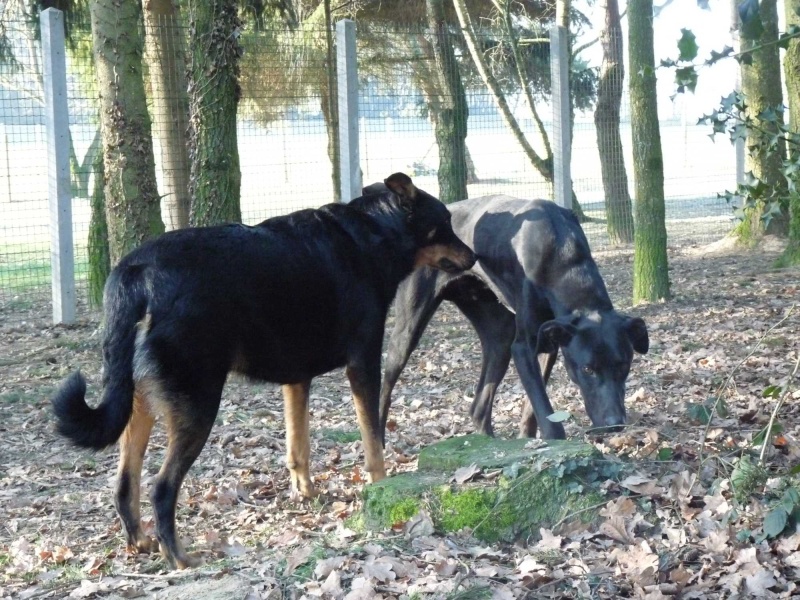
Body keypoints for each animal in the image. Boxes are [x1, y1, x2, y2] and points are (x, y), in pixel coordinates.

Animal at [51, 172, 476, 568]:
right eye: (445, 224)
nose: (473, 257)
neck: (374, 234)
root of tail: (137, 271)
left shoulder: (297, 379)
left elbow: (298, 446)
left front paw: (307, 492)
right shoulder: (363, 364)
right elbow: (373, 443)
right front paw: (383, 488)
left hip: (138, 402)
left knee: (125, 484)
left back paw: (141, 543)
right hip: (197, 405)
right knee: (162, 488)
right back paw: (179, 558)